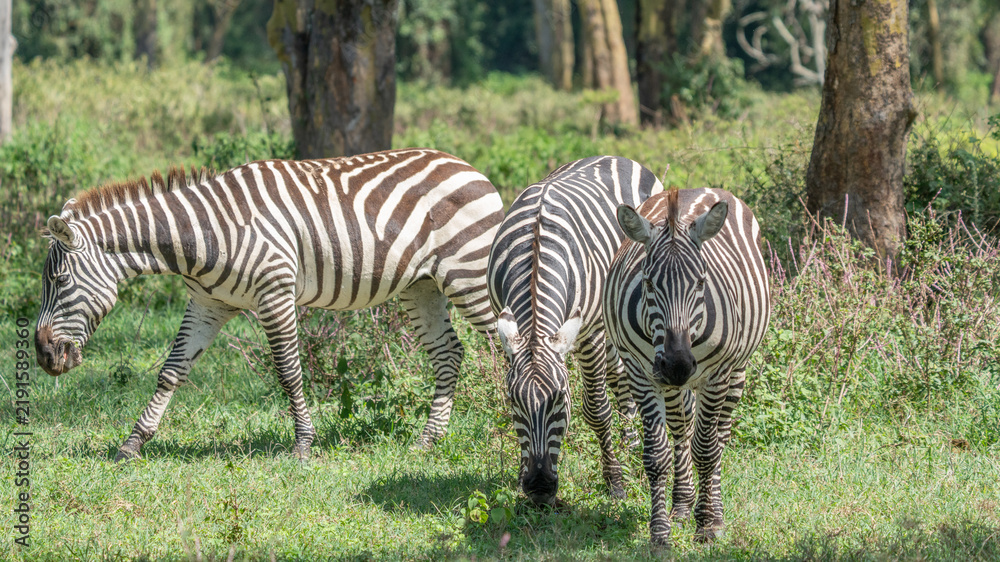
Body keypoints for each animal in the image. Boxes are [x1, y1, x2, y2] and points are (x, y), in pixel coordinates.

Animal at [34, 148, 505, 461]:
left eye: (58, 281)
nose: (43, 356)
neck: (203, 233)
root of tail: (468, 166)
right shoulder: (207, 302)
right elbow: (171, 371)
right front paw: (132, 444)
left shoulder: (274, 292)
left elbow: (289, 372)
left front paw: (303, 445)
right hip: (421, 286)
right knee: (449, 354)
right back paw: (429, 440)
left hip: (469, 273)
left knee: (504, 343)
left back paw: (506, 426)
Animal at [487, 156, 663, 505]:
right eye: (514, 401)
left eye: (559, 398)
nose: (540, 488)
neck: (535, 247)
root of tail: (615, 157)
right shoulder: (509, 331)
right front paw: (519, 477)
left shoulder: (589, 333)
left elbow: (596, 409)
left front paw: (615, 482)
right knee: (620, 375)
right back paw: (629, 445)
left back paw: (631, 449)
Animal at [604, 188, 770, 545]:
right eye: (648, 284)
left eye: (700, 283)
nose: (678, 366)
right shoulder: (642, 374)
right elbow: (657, 456)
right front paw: (659, 533)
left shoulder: (716, 376)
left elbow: (706, 450)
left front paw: (708, 525)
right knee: (682, 432)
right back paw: (681, 505)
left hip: (736, 370)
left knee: (719, 437)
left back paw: (713, 509)